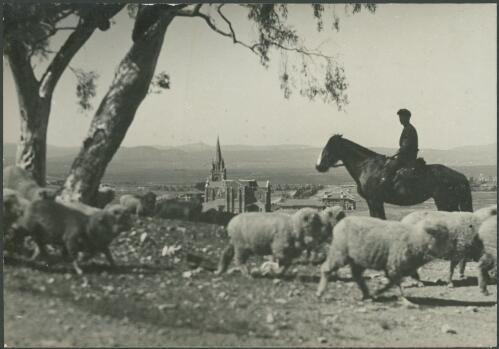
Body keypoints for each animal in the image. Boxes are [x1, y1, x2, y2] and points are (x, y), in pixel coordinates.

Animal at [316, 133, 472, 218]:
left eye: (330, 146)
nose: (318, 166)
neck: (367, 166)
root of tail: (460, 176)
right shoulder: (371, 202)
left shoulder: (375, 200)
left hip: (445, 202)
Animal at [316, 215, 454, 300]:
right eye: (442, 235)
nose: (452, 248)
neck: (416, 238)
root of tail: (340, 223)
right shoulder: (394, 266)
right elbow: (395, 283)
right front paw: (403, 297)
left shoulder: (396, 268)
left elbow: (392, 283)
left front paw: (379, 292)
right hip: (340, 252)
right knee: (326, 269)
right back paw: (320, 292)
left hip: (357, 260)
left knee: (357, 276)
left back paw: (367, 294)